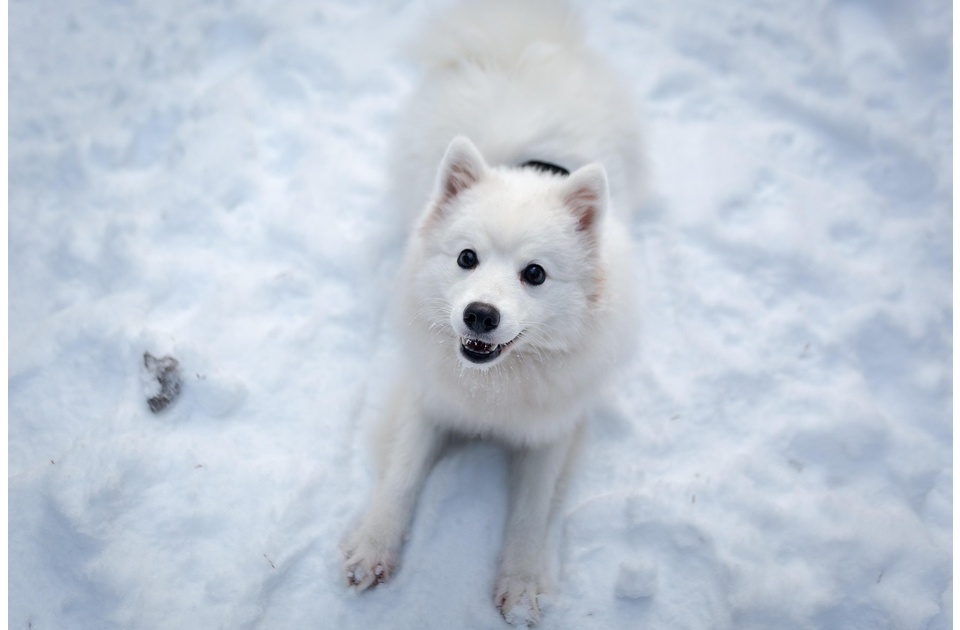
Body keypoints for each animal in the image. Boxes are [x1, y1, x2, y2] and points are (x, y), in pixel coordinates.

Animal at [344, 1, 644, 628]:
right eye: (466, 258)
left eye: (535, 274)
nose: (479, 315)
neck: (495, 385)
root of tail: (523, 40)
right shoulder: (427, 399)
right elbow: (401, 476)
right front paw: (372, 547)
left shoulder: (553, 429)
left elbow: (531, 511)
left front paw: (523, 586)